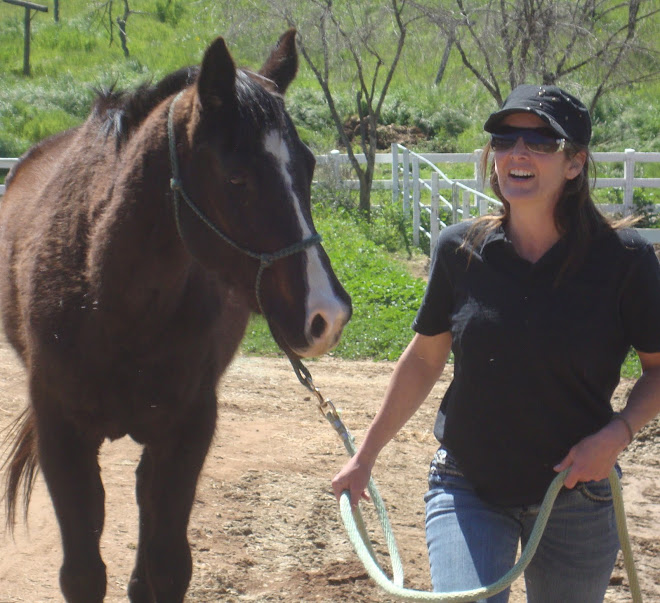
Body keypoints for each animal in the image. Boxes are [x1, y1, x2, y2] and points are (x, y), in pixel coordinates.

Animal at [0, 29, 354, 603]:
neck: (109, 300)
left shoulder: (188, 429)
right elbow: (83, 573)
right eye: (236, 178)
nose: (328, 315)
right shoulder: (62, 435)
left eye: (308, 165)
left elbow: (165, 569)